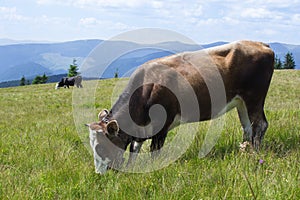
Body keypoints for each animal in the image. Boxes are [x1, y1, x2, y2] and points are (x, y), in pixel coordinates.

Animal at [85, 40, 274, 173]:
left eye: (101, 146)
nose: (99, 174)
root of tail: (260, 44)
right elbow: (134, 149)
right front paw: (131, 167)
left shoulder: (162, 126)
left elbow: (154, 151)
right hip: (241, 101)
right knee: (247, 126)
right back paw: (244, 150)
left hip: (254, 97)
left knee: (260, 124)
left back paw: (255, 152)